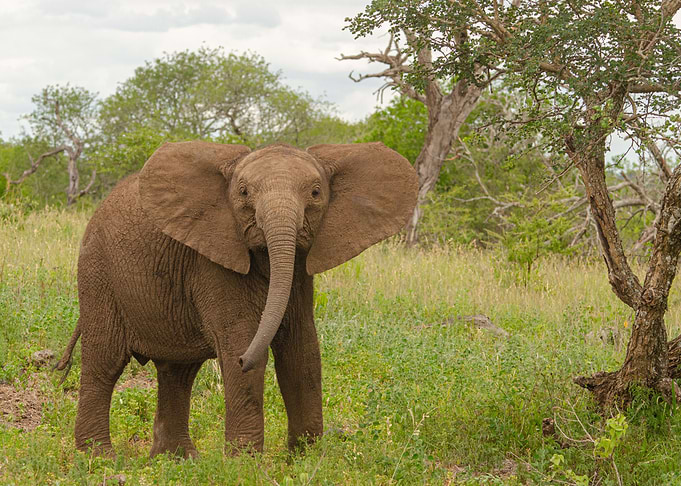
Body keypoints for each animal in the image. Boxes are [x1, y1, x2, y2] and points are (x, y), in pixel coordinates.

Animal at [55, 141, 417, 457]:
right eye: (243, 193)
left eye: (316, 193)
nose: (245, 360)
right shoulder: (212, 261)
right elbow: (239, 339)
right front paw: (245, 464)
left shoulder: (300, 274)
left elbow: (302, 352)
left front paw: (306, 459)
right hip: (98, 274)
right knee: (104, 363)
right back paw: (99, 459)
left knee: (177, 372)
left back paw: (177, 460)